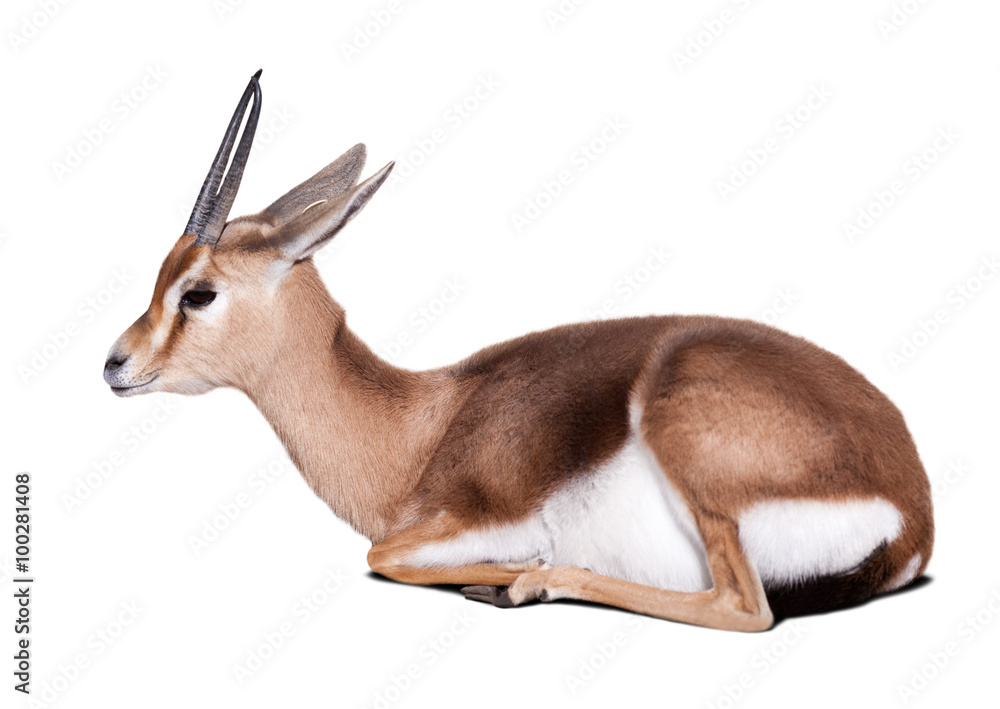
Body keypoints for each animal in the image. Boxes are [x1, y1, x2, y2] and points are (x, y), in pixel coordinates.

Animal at [104, 71, 933, 632]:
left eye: (198, 292)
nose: (114, 363)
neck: (417, 428)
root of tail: (914, 507)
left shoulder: (474, 520)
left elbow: (382, 556)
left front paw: (514, 572)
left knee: (744, 605)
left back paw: (529, 583)